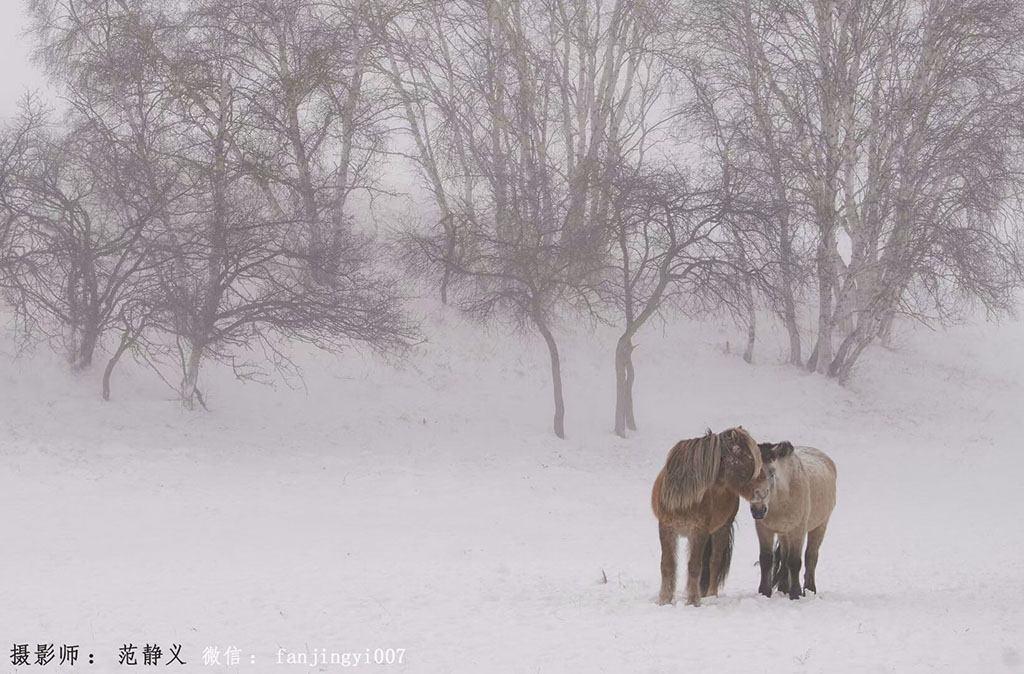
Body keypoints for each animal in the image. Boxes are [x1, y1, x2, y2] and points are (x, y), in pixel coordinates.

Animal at [651, 428, 765, 606]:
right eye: (748, 457)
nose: (764, 490)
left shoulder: (699, 532)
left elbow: (694, 566)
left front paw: (693, 601)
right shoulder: (666, 528)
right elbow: (667, 565)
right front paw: (663, 600)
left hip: (721, 529)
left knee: (714, 561)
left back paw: (711, 595)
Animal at [749, 440, 835, 598]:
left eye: (771, 474)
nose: (758, 509)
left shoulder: (798, 530)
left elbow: (795, 561)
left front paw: (795, 593)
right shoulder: (764, 529)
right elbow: (766, 559)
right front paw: (764, 592)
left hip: (820, 526)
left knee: (811, 556)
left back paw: (809, 589)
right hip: (784, 533)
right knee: (784, 557)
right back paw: (783, 588)